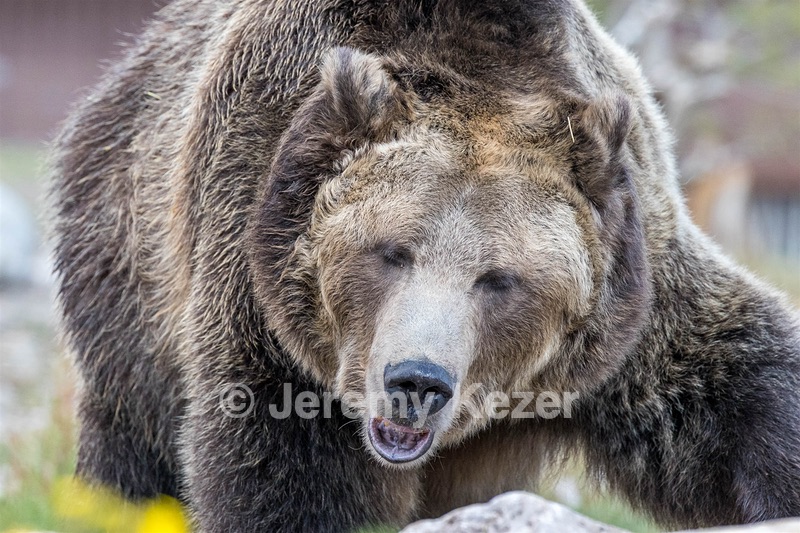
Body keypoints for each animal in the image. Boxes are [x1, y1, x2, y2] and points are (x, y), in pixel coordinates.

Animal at [49, 0, 800, 531]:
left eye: (499, 279)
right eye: (390, 251)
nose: (417, 380)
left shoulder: (633, 303)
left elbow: (735, 385)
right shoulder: (258, 284)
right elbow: (281, 470)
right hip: (129, 256)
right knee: (134, 441)